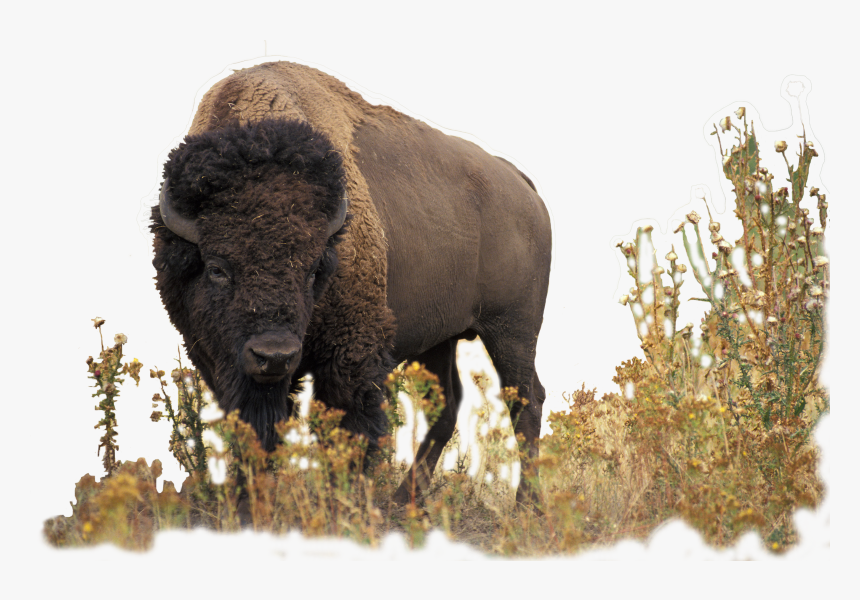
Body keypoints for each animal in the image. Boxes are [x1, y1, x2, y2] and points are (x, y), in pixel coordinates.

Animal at [151, 61, 552, 504]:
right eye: (217, 268)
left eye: (313, 269)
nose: (274, 355)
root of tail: (521, 184)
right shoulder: (216, 358)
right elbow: (255, 430)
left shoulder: (351, 353)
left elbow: (350, 431)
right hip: (441, 338)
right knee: (448, 405)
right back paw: (404, 501)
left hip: (512, 331)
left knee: (526, 400)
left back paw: (526, 504)